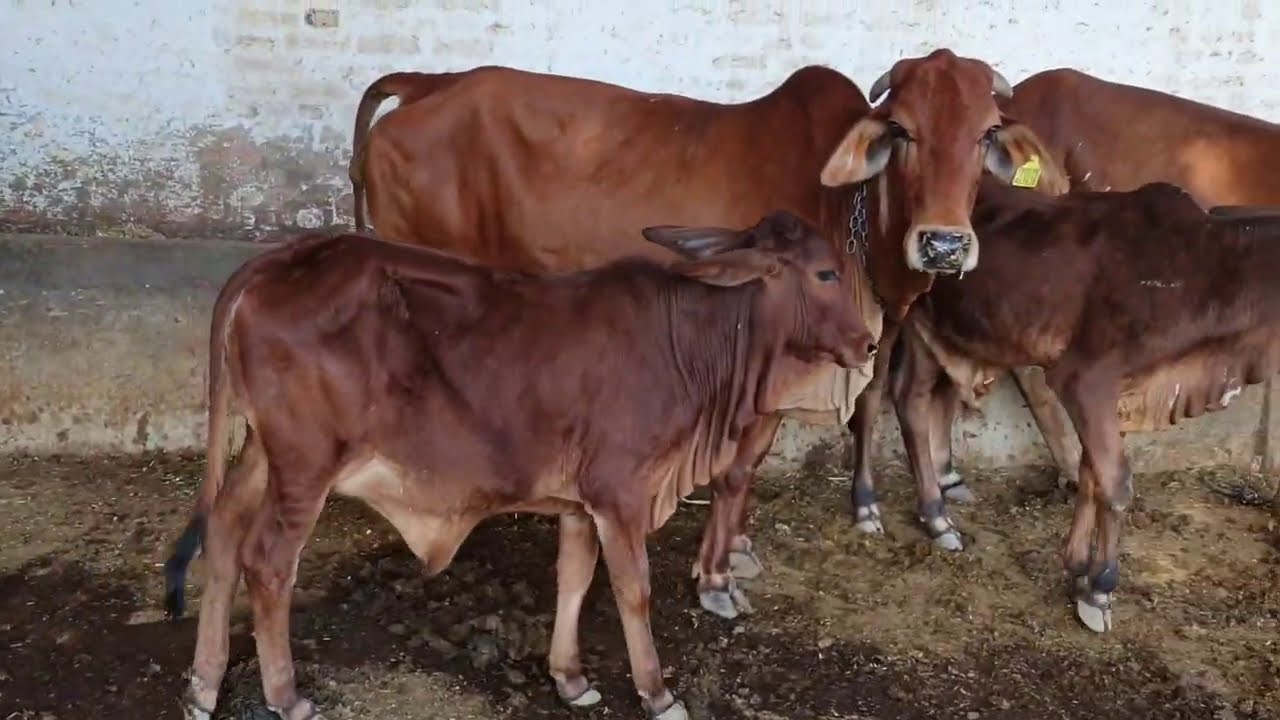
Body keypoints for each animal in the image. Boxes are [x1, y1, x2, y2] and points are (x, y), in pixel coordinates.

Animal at [160, 211, 877, 720]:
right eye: (825, 274)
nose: (869, 343)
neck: (695, 347)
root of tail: (274, 262)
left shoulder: (582, 501)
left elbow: (574, 579)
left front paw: (571, 678)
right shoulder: (621, 492)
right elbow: (633, 590)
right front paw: (657, 693)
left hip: (263, 449)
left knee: (223, 531)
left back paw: (203, 685)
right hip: (307, 462)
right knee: (268, 561)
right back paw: (285, 695)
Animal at [349, 49, 1069, 618]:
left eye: (985, 131)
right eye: (902, 129)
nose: (944, 244)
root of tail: (430, 82)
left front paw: (736, 551)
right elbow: (737, 470)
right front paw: (715, 578)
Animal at [855, 175, 1280, 634]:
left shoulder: (1119, 397)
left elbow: (1090, 475)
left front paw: (1077, 573)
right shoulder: (1083, 380)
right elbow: (1116, 485)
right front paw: (1100, 590)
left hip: (932, 329)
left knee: (912, 400)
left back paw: (936, 517)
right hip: (885, 315)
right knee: (870, 399)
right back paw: (866, 506)